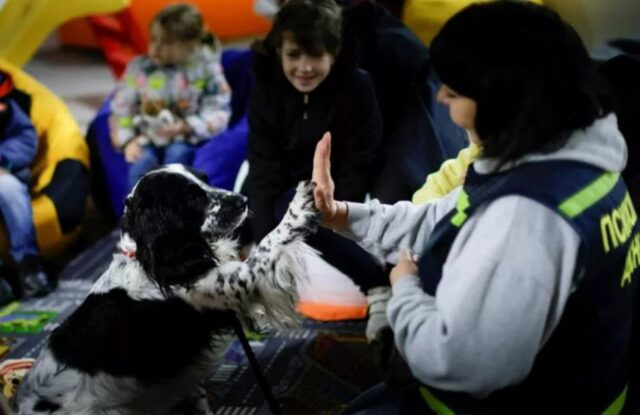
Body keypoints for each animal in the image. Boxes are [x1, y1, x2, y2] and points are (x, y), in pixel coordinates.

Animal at [16, 164, 320, 414]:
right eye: (191, 197)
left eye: (205, 179)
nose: (243, 201)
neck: (148, 258)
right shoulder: (229, 285)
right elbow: (267, 245)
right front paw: (299, 207)